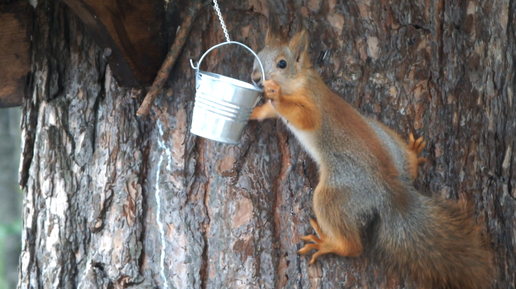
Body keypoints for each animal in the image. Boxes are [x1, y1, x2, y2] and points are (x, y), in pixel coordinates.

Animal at [249, 19, 492, 286]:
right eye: (258, 55)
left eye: (282, 63)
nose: (255, 78)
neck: (300, 80)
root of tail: (391, 191)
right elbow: (271, 112)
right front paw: (255, 112)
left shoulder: (313, 103)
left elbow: (303, 116)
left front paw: (277, 96)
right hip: (385, 136)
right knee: (409, 169)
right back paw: (413, 156)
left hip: (337, 193)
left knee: (353, 246)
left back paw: (327, 244)